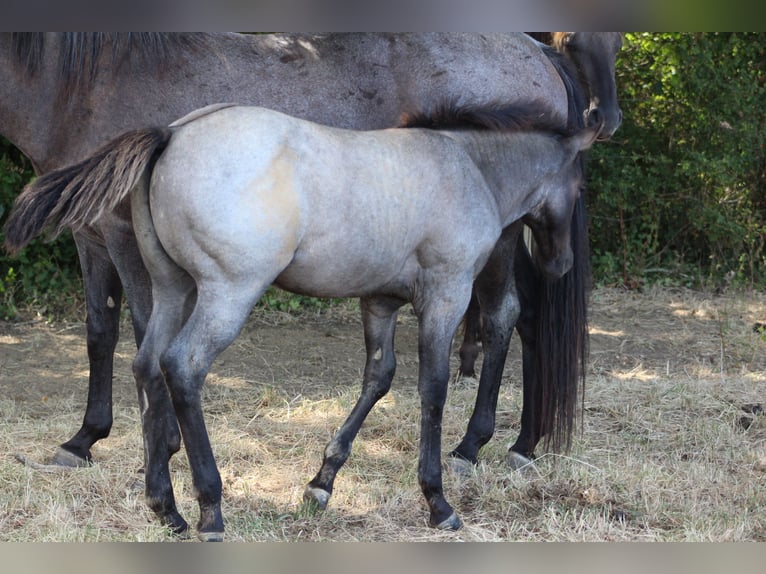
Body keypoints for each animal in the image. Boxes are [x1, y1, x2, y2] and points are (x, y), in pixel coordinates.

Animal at [0, 33, 622, 470]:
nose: (611, 120)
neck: (88, 83)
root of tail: (536, 49)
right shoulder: (92, 236)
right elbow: (99, 332)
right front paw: (84, 439)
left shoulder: (126, 240)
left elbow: (138, 330)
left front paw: (158, 446)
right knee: (526, 318)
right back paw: (521, 443)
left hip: (501, 241)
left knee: (504, 316)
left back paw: (481, 445)